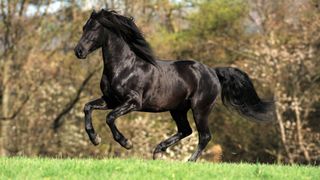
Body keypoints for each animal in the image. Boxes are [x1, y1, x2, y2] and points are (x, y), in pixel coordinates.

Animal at [74, 9, 274, 162]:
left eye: (94, 28)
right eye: (83, 27)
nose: (78, 51)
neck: (125, 67)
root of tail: (213, 72)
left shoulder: (132, 102)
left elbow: (110, 118)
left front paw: (126, 143)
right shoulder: (111, 100)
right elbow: (87, 107)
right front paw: (95, 139)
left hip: (200, 109)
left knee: (204, 135)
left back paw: (189, 160)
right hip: (178, 109)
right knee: (186, 130)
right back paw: (158, 151)